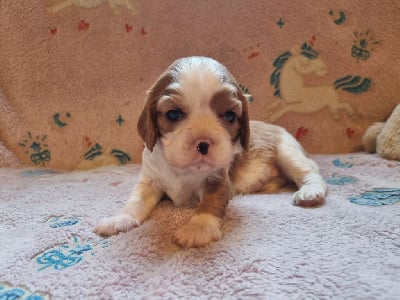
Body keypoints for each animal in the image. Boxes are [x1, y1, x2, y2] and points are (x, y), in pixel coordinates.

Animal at [94, 56, 328, 248]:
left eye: (230, 116)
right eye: (173, 114)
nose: (203, 144)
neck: (183, 171)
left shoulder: (217, 180)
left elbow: (209, 204)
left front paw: (197, 229)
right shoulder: (149, 180)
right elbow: (136, 201)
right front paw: (119, 219)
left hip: (288, 153)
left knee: (312, 175)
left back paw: (310, 193)